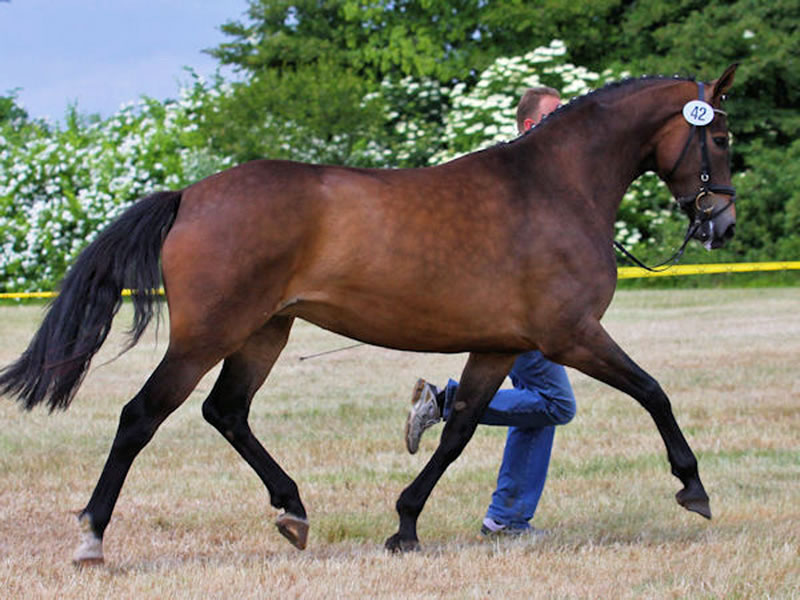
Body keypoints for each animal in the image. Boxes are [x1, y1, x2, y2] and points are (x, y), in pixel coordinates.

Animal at [0, 64, 736, 564]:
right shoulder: (572, 335)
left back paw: (293, 511)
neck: (554, 187)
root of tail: (190, 196)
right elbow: (653, 391)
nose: (721, 223)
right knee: (141, 416)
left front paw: (405, 525)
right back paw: (92, 535)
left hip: (264, 332)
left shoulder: (498, 346)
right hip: (208, 336)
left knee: (226, 412)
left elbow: (457, 432)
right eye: (723, 138)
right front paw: (693, 487)